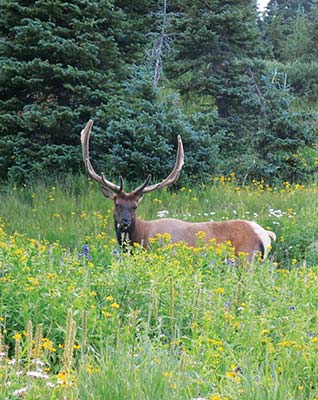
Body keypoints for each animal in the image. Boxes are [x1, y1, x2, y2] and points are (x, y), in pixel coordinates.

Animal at [80, 119, 276, 262]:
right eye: (117, 204)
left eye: (135, 206)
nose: (125, 222)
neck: (141, 237)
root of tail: (266, 234)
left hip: (247, 258)